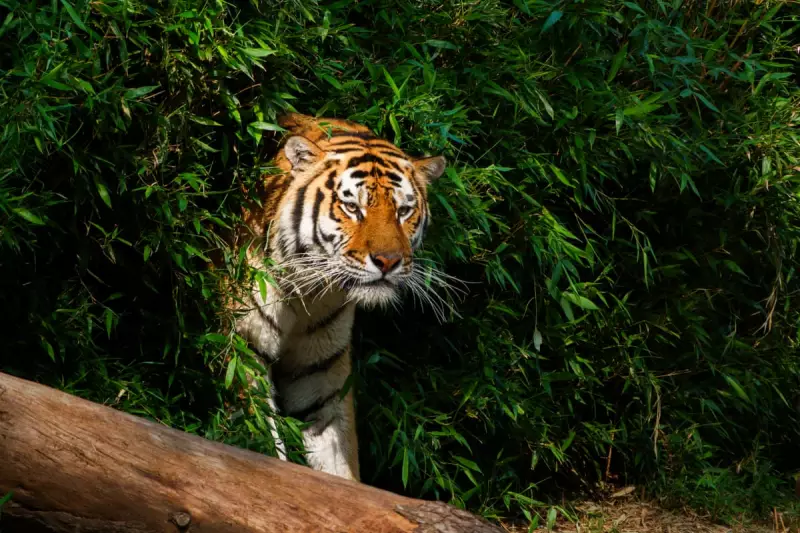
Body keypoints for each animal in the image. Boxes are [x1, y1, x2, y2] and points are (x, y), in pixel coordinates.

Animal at [230, 112, 447, 481]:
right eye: (352, 207)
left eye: (404, 211)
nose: (388, 261)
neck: (310, 293)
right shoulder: (243, 349)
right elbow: (261, 438)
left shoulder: (321, 377)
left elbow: (338, 463)